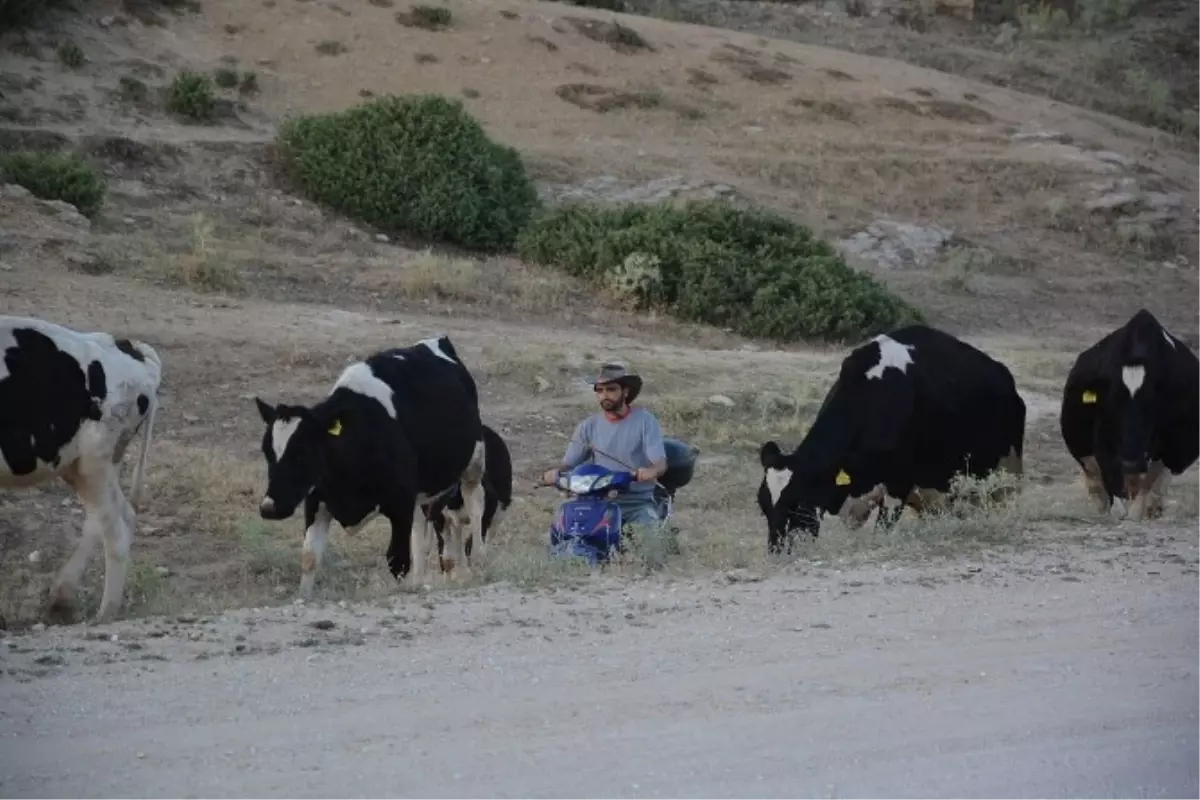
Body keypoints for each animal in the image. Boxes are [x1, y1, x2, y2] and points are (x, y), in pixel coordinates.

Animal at [0, 316, 162, 623]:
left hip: (94, 463)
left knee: (115, 531)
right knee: (114, 516)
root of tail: (125, 346)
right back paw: (62, 598)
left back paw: (104, 615)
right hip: (87, 464)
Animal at [255, 333, 484, 599]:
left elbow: (397, 560)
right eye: (267, 452)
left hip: (473, 465)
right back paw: (418, 583)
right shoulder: (315, 502)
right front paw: (304, 598)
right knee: (422, 536)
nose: (269, 508)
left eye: (301, 453)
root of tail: (438, 341)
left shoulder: (400, 504)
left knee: (475, 509)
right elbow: (309, 557)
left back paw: (481, 562)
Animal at [758, 321, 1022, 554]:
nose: (778, 551)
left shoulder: (899, 484)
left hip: (1005, 477)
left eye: (798, 503)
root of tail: (1005, 378)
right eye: (763, 505)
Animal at [1060, 309, 1200, 522]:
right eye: (1112, 401)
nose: (1131, 462)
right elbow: (1115, 490)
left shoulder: (1170, 449)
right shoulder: (1104, 445)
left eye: (1154, 404)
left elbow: (1149, 485)